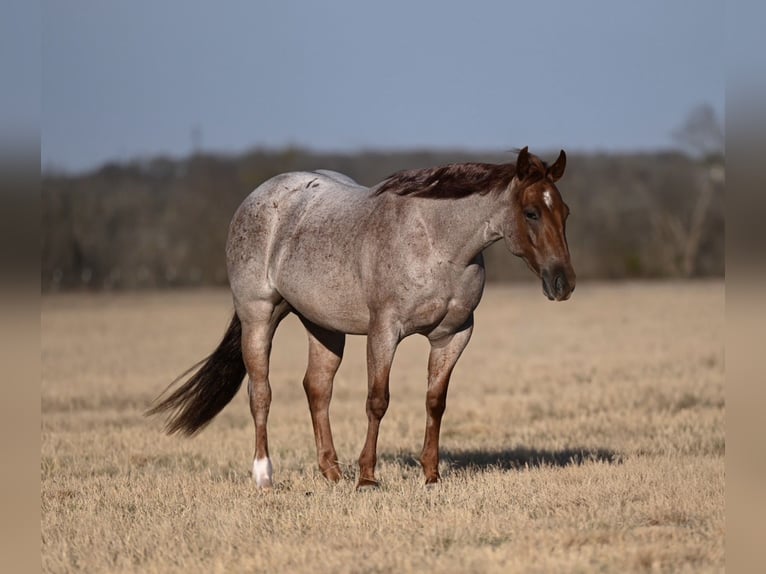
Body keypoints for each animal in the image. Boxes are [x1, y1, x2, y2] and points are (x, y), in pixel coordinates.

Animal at [147, 146, 575, 489]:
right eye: (531, 212)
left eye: (565, 212)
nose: (563, 282)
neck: (437, 244)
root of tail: (259, 197)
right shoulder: (384, 331)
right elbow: (377, 400)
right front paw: (368, 477)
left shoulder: (453, 335)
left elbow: (435, 402)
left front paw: (431, 475)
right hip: (258, 316)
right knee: (261, 393)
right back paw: (265, 475)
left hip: (322, 326)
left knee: (317, 389)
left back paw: (332, 472)